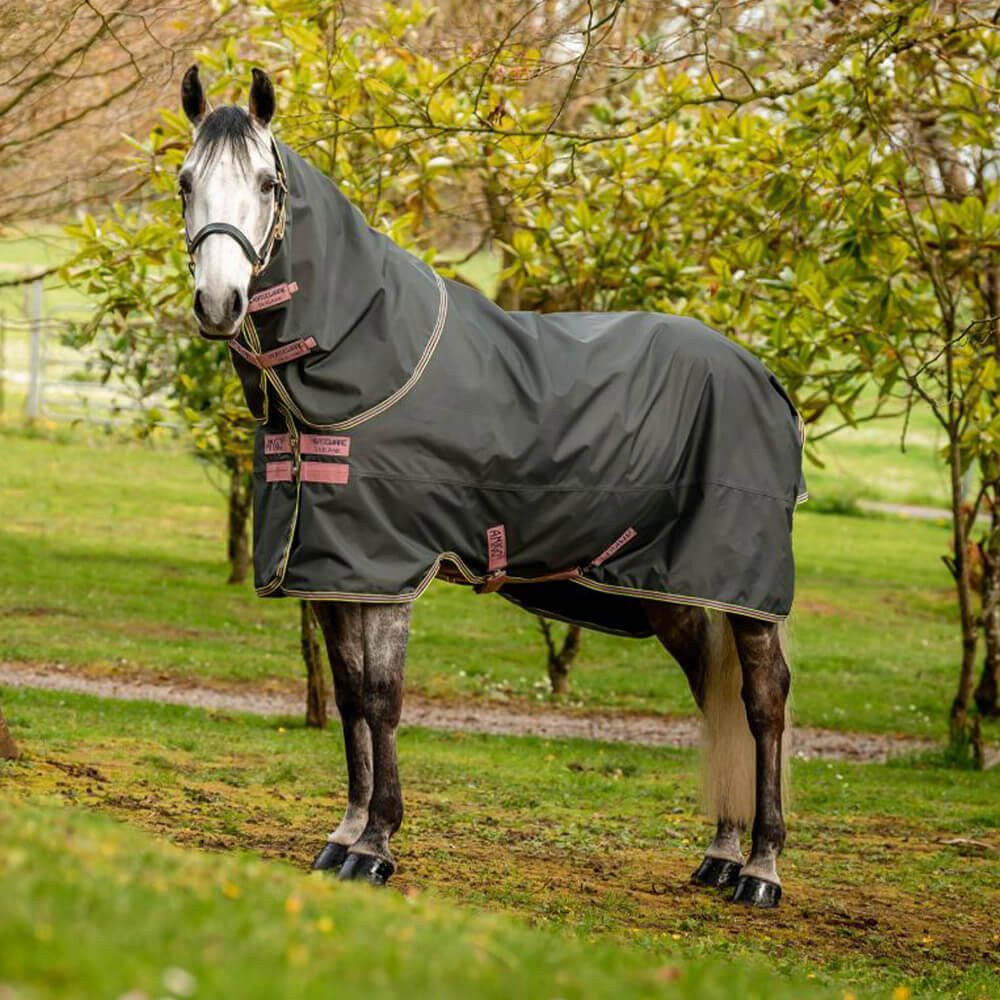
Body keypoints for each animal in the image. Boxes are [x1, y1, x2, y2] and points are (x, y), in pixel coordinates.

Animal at [178, 65, 801, 909]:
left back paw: (761, 870)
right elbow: (347, 697)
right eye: (185, 182)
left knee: (762, 702)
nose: (220, 303)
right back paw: (721, 854)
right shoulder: (335, 571)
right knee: (714, 691)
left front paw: (375, 846)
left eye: (268, 183)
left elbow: (382, 698)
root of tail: (760, 374)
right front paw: (343, 833)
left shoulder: (388, 570)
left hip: (744, 588)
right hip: (664, 585)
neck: (366, 351)